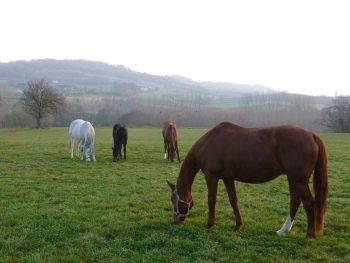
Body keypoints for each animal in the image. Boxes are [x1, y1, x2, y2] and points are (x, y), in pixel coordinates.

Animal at [167, 122, 328, 240]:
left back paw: (309, 235)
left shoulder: (211, 176)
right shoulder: (227, 178)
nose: (176, 221)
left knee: (309, 203)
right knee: (295, 202)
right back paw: (283, 230)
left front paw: (209, 224)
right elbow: (233, 200)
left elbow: (211, 200)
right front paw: (238, 225)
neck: (208, 143)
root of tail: (312, 135)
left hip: (298, 180)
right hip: (293, 179)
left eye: (173, 199)